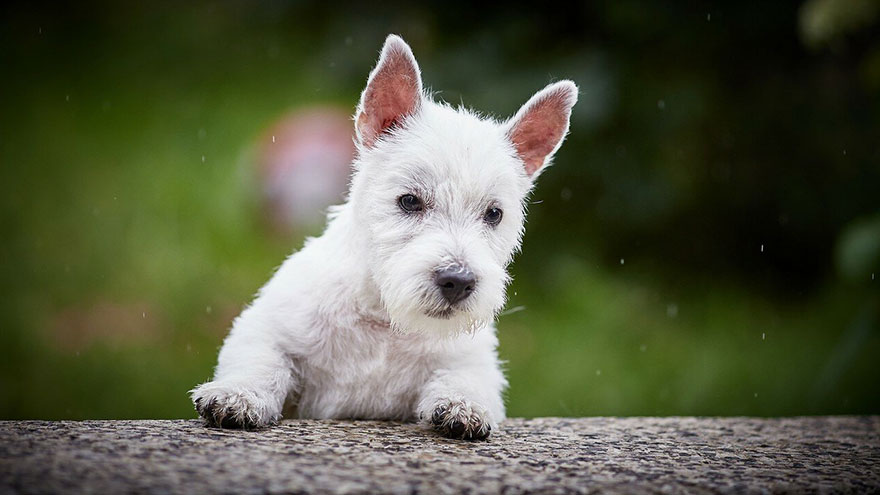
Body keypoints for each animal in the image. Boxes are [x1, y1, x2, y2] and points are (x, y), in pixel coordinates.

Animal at [191, 33, 576, 440]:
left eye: (494, 213)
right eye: (409, 201)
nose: (457, 282)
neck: (384, 318)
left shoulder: (472, 360)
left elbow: (464, 378)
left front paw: (463, 407)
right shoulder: (265, 327)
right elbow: (262, 359)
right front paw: (237, 396)